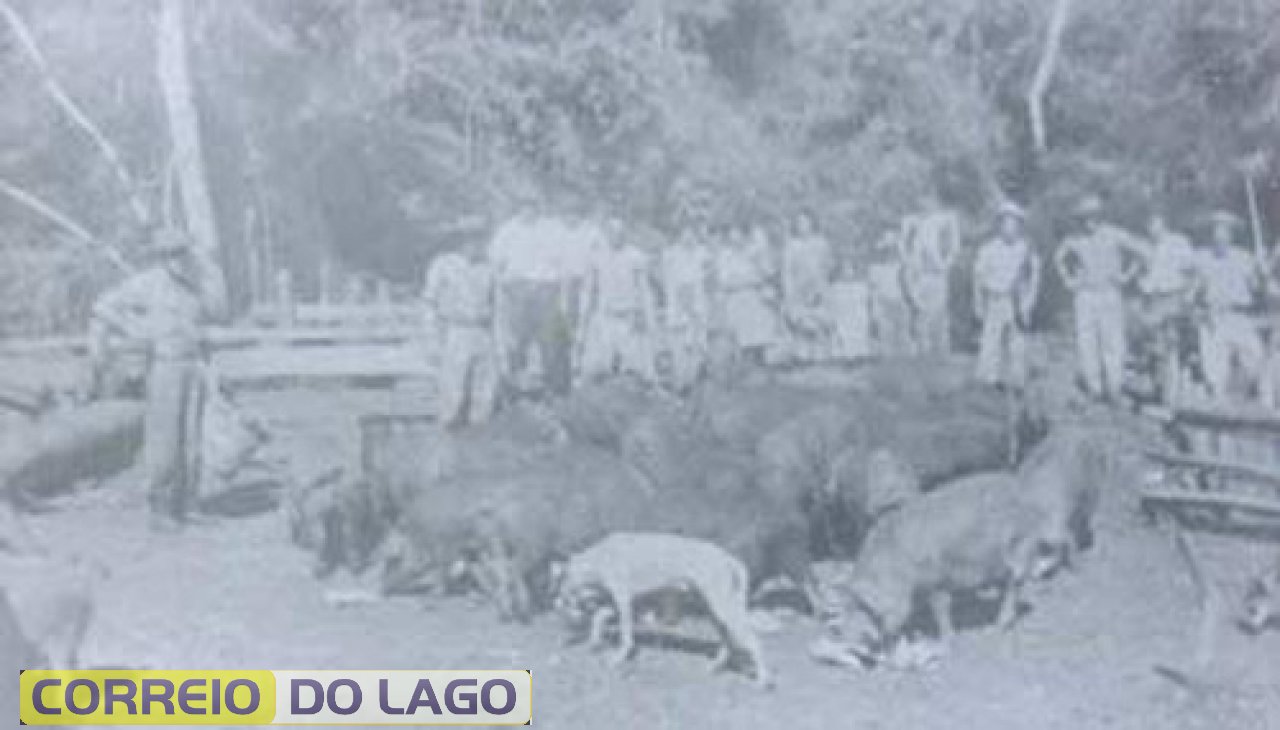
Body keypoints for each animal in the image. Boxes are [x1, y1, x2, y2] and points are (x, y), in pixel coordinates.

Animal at [552, 530, 768, 686]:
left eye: (564, 599)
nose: (557, 607)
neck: (599, 558)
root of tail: (730, 558)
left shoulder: (623, 600)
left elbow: (624, 634)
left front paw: (618, 658)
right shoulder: (632, 603)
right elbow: (600, 616)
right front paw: (595, 642)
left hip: (721, 605)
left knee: (752, 640)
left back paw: (763, 680)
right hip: (713, 608)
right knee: (727, 639)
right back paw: (714, 667)